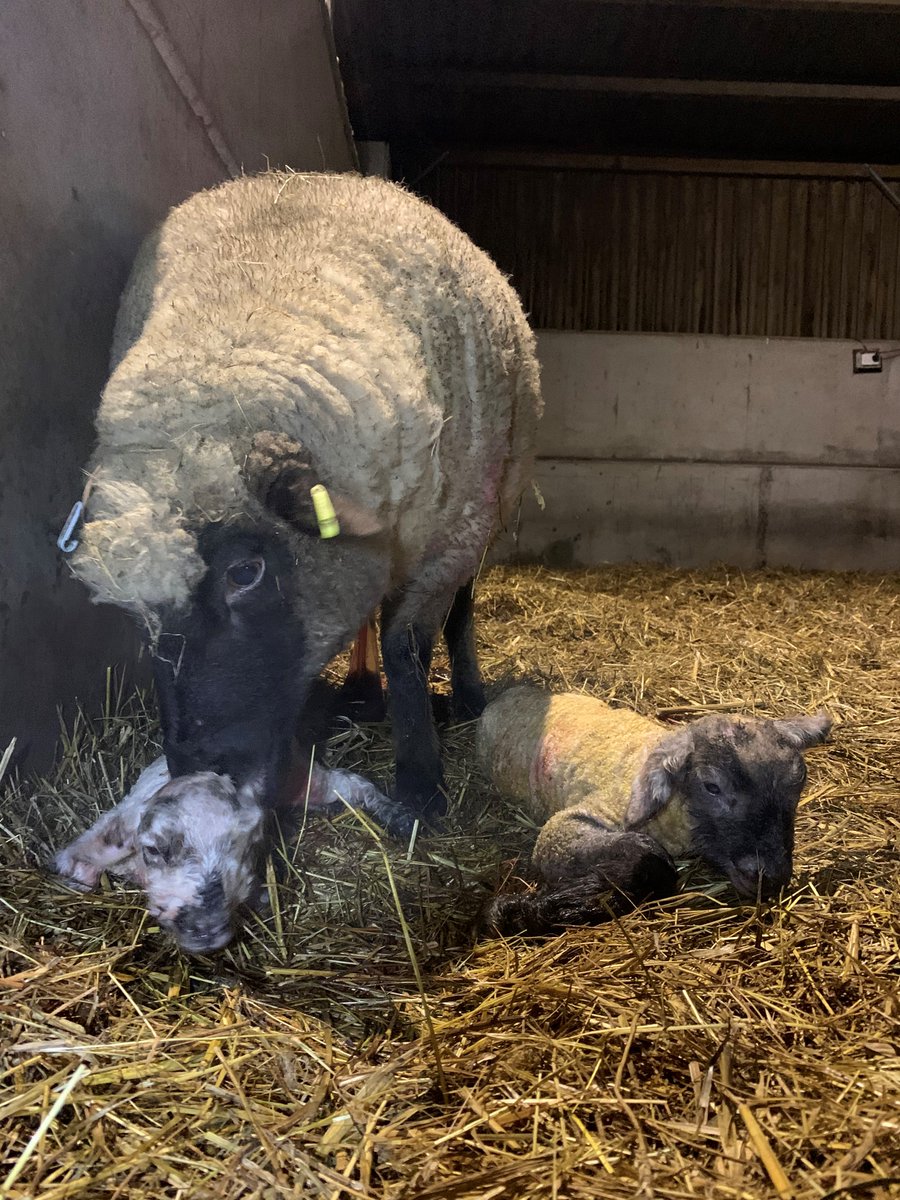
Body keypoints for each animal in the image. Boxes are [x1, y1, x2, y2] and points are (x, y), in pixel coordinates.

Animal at [52, 756, 413, 954]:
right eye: (154, 849)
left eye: (247, 846)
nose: (207, 931)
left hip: (303, 775)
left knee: (352, 785)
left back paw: (404, 819)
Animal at [69, 171, 542, 822]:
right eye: (139, 614)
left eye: (245, 571)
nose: (200, 770)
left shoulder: (449, 538)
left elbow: (406, 648)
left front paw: (421, 785)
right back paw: (362, 694)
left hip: (487, 505)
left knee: (462, 607)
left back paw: (468, 695)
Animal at [476, 687, 832, 936]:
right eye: (712, 787)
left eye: (799, 781)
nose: (770, 877)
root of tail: (507, 694)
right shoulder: (565, 827)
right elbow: (649, 859)